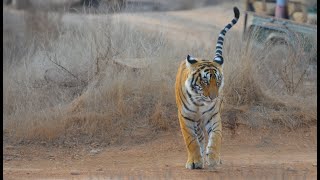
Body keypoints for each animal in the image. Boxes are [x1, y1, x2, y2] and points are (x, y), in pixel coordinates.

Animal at [174, 6, 239, 170]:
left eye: (218, 81)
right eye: (204, 81)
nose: (213, 97)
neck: (199, 102)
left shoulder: (213, 115)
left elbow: (216, 137)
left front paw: (214, 159)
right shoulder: (185, 117)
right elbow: (191, 141)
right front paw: (195, 161)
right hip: (196, 121)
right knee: (200, 136)